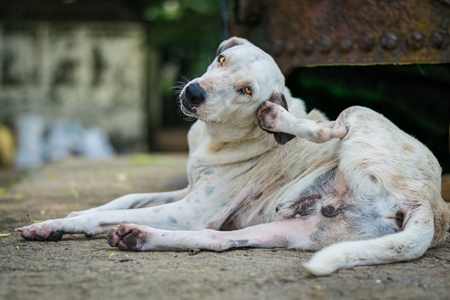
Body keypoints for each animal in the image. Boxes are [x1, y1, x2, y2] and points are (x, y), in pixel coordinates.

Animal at [17, 38, 450, 276]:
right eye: (222, 61)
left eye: (245, 91)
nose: (193, 92)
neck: (218, 137)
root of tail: (429, 206)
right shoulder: (188, 193)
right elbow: (125, 199)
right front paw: (66, 218)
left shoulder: (190, 208)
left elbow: (109, 211)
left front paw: (59, 221)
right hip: (293, 232)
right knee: (217, 240)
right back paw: (139, 237)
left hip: (357, 112)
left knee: (331, 127)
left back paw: (279, 117)